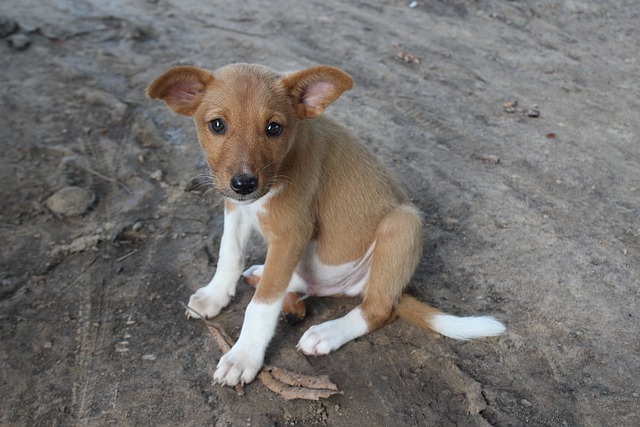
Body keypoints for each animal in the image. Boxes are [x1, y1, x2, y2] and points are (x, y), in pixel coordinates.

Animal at [145, 63, 504, 388]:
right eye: (217, 125)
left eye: (274, 128)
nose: (244, 183)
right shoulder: (235, 208)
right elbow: (229, 255)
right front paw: (215, 295)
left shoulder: (292, 235)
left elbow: (261, 306)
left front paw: (243, 356)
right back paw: (266, 274)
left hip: (403, 224)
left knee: (378, 308)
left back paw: (328, 332)